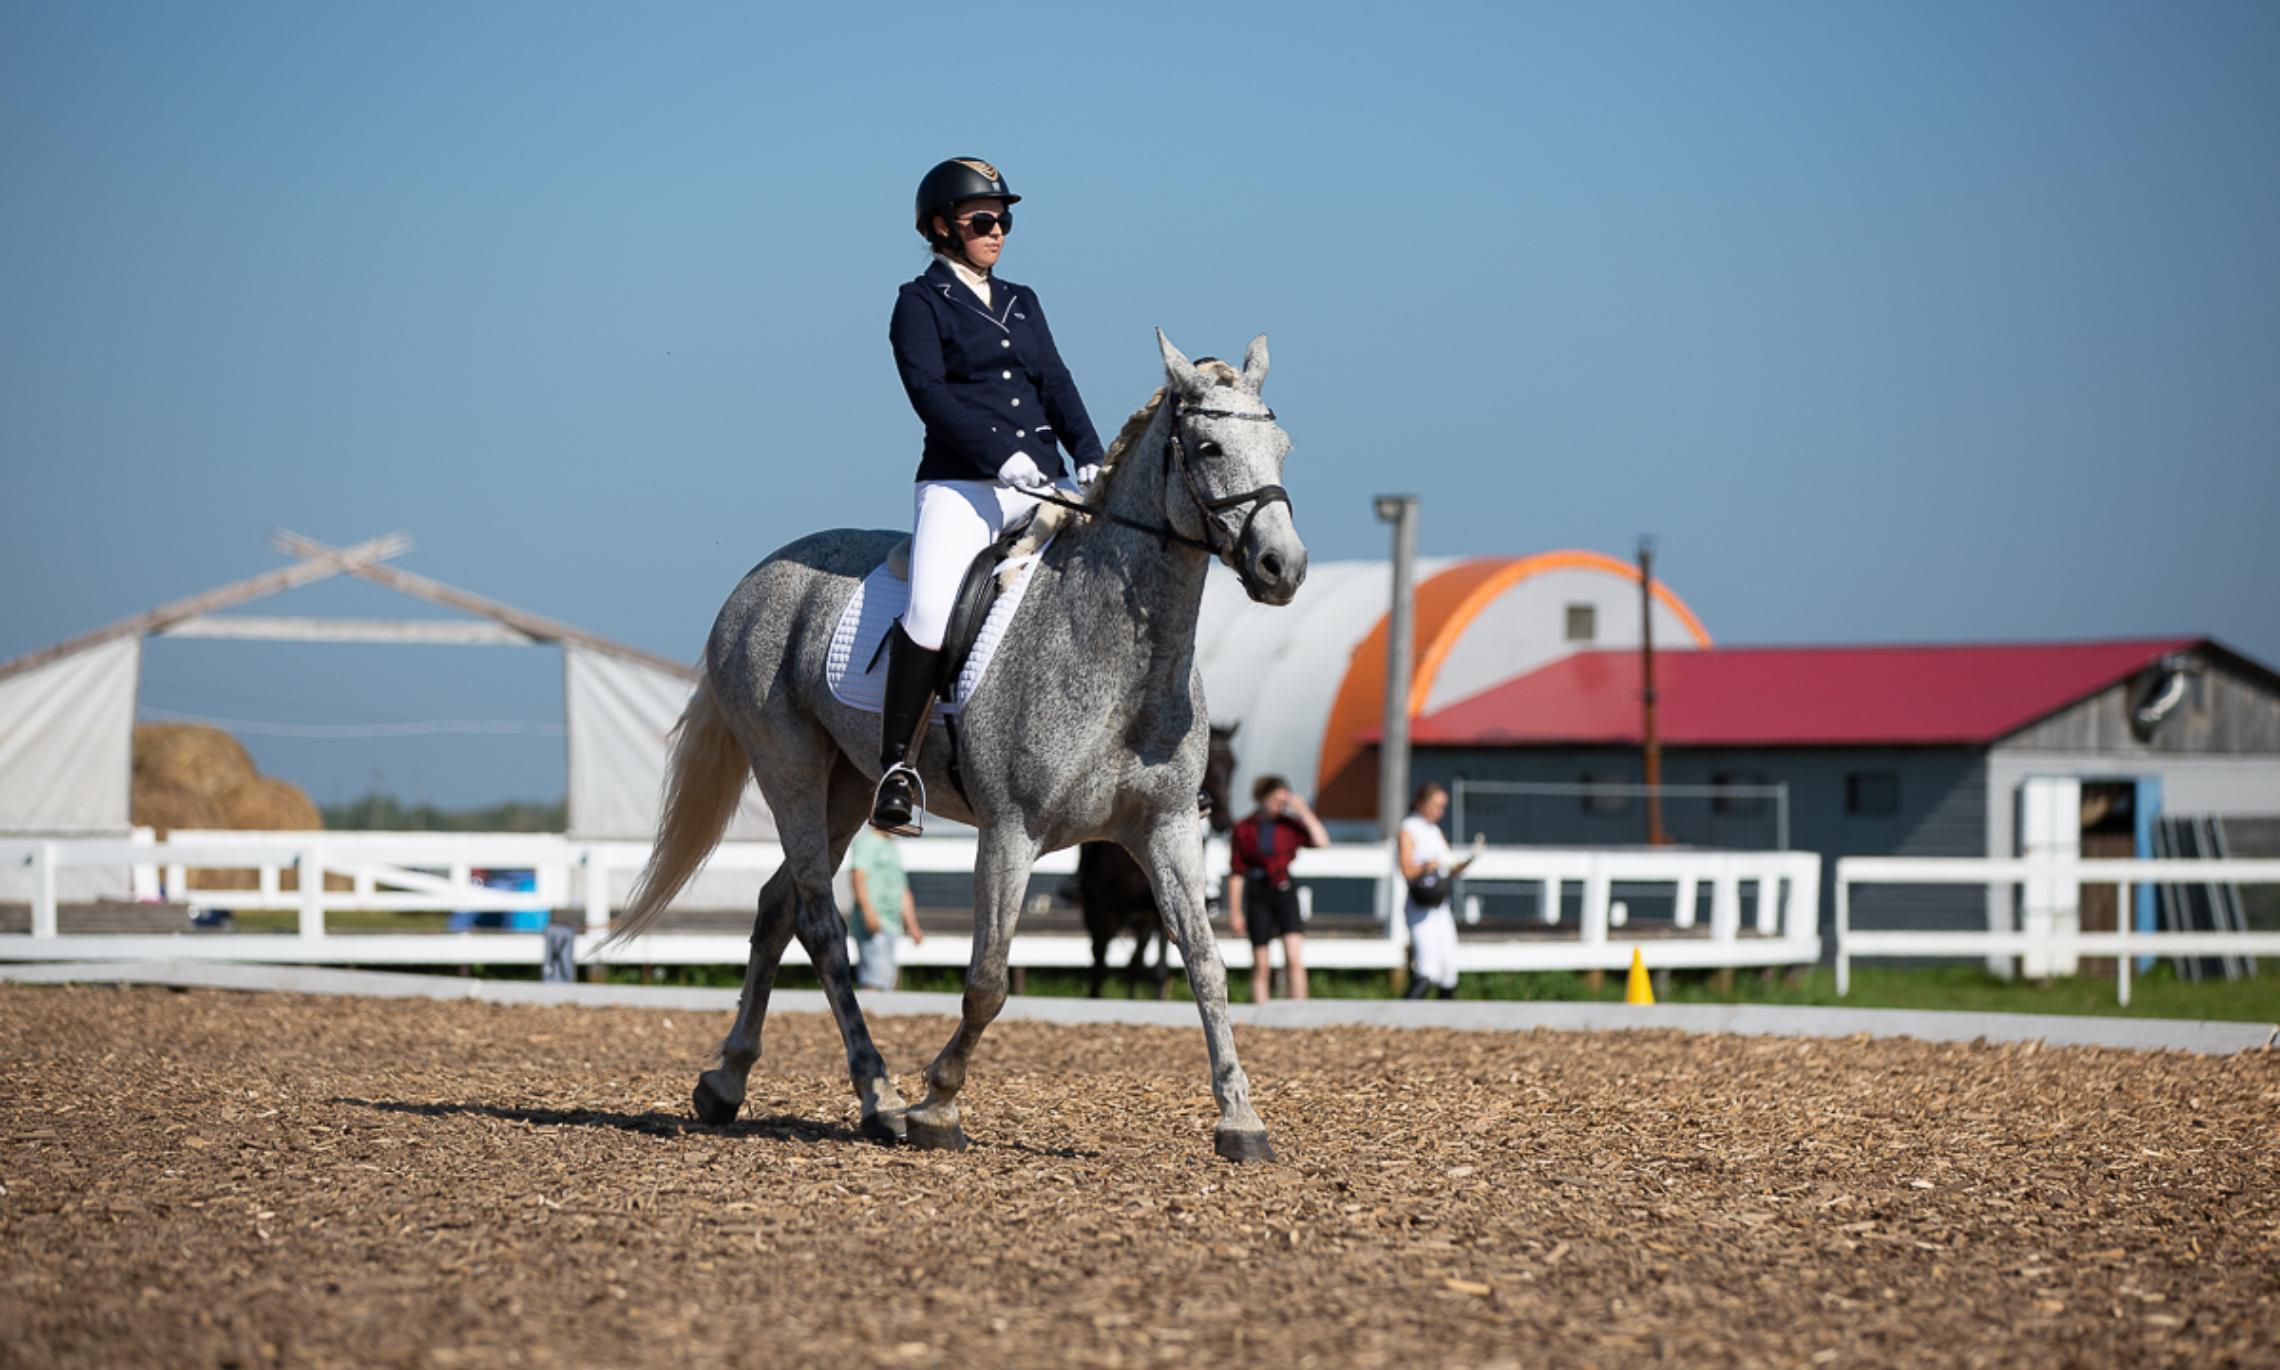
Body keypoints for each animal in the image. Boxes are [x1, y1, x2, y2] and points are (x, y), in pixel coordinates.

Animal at [1062, 724, 1240, 993]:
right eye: (1209, 760)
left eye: (1233, 765)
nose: (1224, 822)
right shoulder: (1104, 912)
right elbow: (1100, 968)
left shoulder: (1158, 915)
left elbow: (1158, 971)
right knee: (1100, 961)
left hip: (1140, 922)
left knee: (1133, 966)